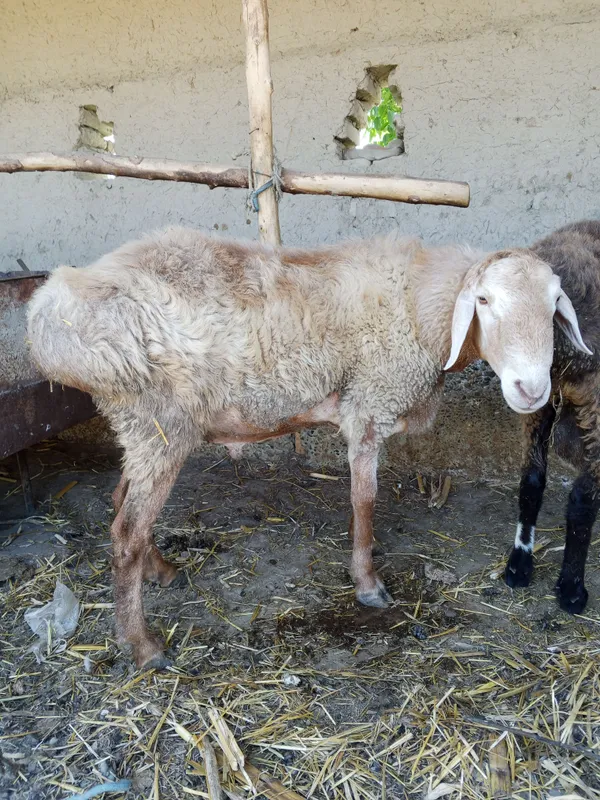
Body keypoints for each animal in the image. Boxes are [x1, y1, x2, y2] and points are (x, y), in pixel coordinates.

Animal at [27, 227, 589, 669]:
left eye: (553, 305)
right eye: (485, 301)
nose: (531, 389)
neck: (416, 307)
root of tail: (49, 312)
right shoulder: (369, 406)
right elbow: (365, 501)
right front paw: (368, 584)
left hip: (143, 428)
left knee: (123, 505)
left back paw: (161, 571)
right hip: (158, 422)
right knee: (125, 533)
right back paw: (142, 645)